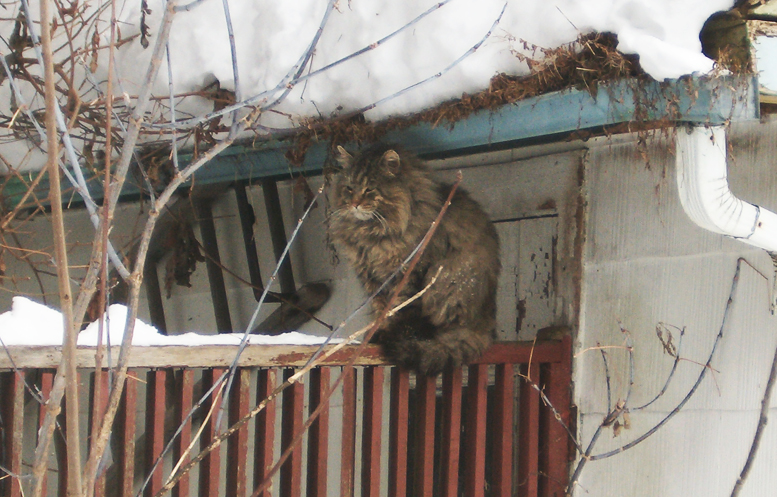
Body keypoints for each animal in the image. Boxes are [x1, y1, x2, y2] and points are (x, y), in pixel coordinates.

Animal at [326, 141, 498, 374]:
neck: (372, 234)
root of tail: (486, 323)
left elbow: (398, 309)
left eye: (369, 189)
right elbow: (381, 309)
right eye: (349, 188)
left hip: (446, 281)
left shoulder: (406, 273)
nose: (354, 203)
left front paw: (389, 333)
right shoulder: (373, 278)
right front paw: (377, 332)